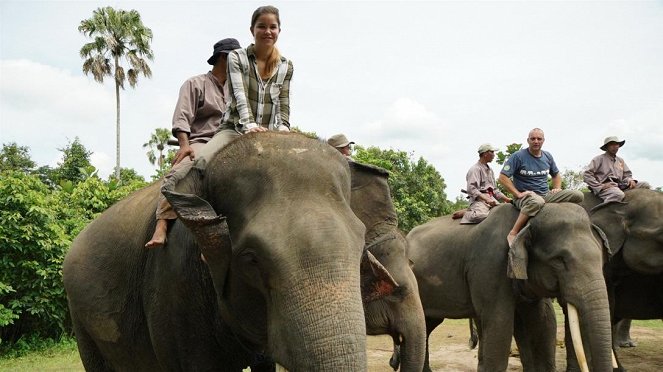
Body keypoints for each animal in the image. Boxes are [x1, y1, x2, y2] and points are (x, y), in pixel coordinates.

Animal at [410, 202, 616, 372]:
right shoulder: (490, 263)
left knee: (427, 324)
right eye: (560, 260)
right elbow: (500, 322)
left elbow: (542, 321)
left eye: (602, 259)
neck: (525, 222)